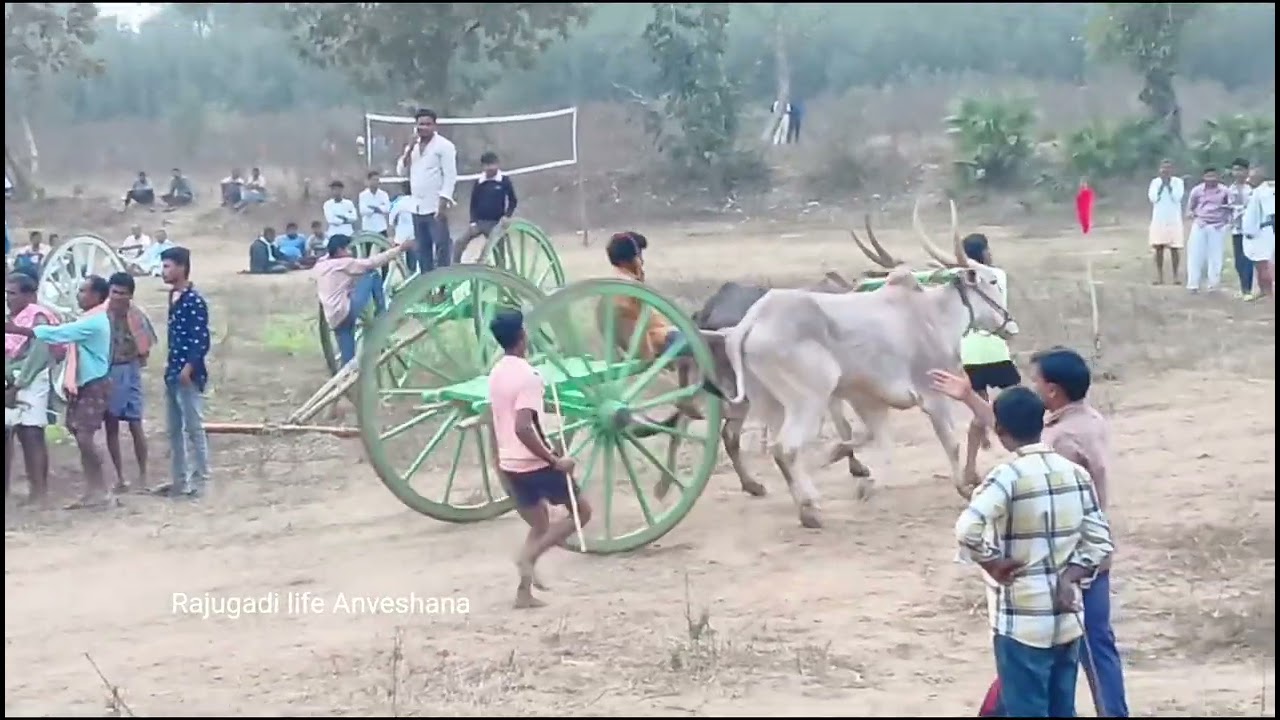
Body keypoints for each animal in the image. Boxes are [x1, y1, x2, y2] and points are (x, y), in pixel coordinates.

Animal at [717, 199, 1019, 529]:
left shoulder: (869, 399)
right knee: (787, 447)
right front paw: (964, 487)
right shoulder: (933, 394)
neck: (932, 315)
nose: (1010, 325)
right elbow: (949, 443)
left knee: (775, 446)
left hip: (770, 403)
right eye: (992, 280)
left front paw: (861, 477)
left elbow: (875, 440)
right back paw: (810, 509)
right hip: (810, 400)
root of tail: (752, 321)